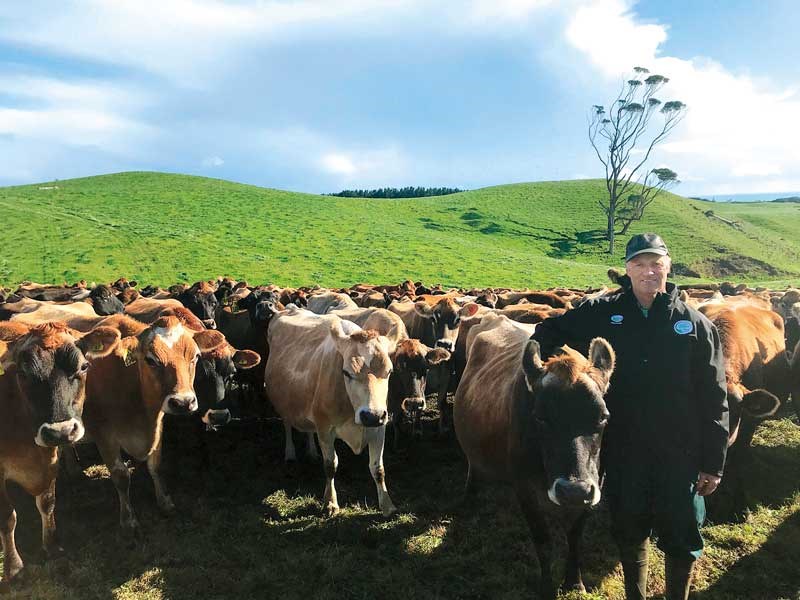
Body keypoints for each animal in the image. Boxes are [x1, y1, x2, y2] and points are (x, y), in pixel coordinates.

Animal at [0, 324, 119, 592]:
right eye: (22, 373)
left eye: (83, 367)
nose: (60, 431)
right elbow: (7, 518)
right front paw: (14, 569)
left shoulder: (49, 460)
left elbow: (47, 503)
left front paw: (52, 546)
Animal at [83, 316, 225, 532]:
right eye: (151, 360)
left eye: (195, 357)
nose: (183, 402)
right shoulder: (103, 435)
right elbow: (121, 477)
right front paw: (128, 520)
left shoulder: (158, 426)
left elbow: (155, 466)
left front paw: (165, 502)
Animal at [264, 310, 398, 516]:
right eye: (346, 373)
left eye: (389, 371)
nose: (371, 415)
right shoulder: (325, 428)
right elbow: (330, 465)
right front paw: (330, 502)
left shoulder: (378, 428)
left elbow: (378, 469)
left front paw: (387, 505)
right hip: (285, 403)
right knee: (287, 424)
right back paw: (290, 452)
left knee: (308, 429)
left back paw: (312, 451)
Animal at [454, 314, 616, 600]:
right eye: (540, 416)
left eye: (603, 416)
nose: (573, 490)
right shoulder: (524, 488)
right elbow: (543, 541)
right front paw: (547, 588)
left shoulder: (595, 485)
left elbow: (575, 536)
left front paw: (574, 582)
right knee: (473, 465)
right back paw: (469, 498)